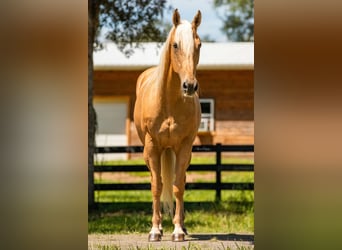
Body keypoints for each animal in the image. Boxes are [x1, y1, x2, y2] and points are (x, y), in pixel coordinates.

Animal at [134, 9, 202, 242]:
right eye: (175, 45)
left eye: (199, 45)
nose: (189, 86)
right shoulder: (153, 146)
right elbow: (157, 187)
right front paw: (155, 230)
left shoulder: (184, 146)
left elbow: (178, 186)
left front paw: (179, 230)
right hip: (150, 153)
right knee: (157, 181)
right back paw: (161, 227)